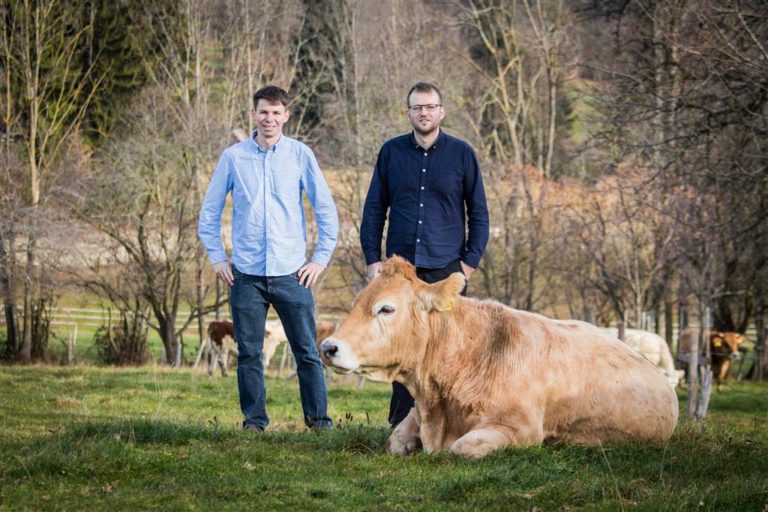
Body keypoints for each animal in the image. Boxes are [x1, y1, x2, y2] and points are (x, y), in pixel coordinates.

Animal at [318, 258, 680, 458]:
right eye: (356, 303)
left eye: (386, 308)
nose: (328, 348)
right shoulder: (418, 412)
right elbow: (395, 439)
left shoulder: (520, 429)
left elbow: (461, 448)